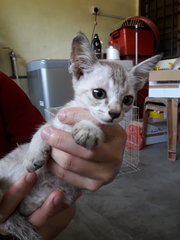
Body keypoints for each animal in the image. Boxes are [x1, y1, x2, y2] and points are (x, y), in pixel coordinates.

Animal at [0, 32, 160, 240]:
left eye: (128, 99)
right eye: (98, 93)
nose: (115, 113)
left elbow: (97, 124)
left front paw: (89, 129)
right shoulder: (52, 123)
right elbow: (40, 132)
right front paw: (33, 156)